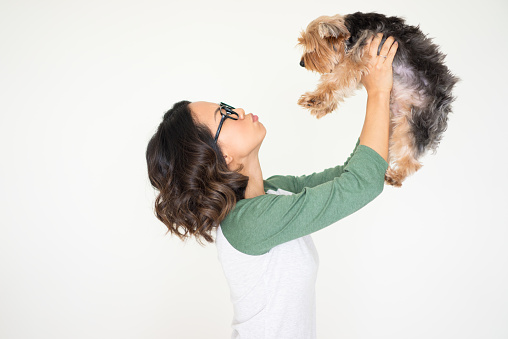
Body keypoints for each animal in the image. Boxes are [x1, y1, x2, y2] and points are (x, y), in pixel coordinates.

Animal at [298, 11, 460, 187]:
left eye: (314, 47)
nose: (301, 63)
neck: (352, 31)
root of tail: (445, 105)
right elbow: (342, 84)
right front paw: (322, 106)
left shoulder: (357, 58)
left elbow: (337, 78)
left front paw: (315, 98)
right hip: (397, 118)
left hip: (416, 120)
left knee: (412, 156)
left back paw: (396, 176)